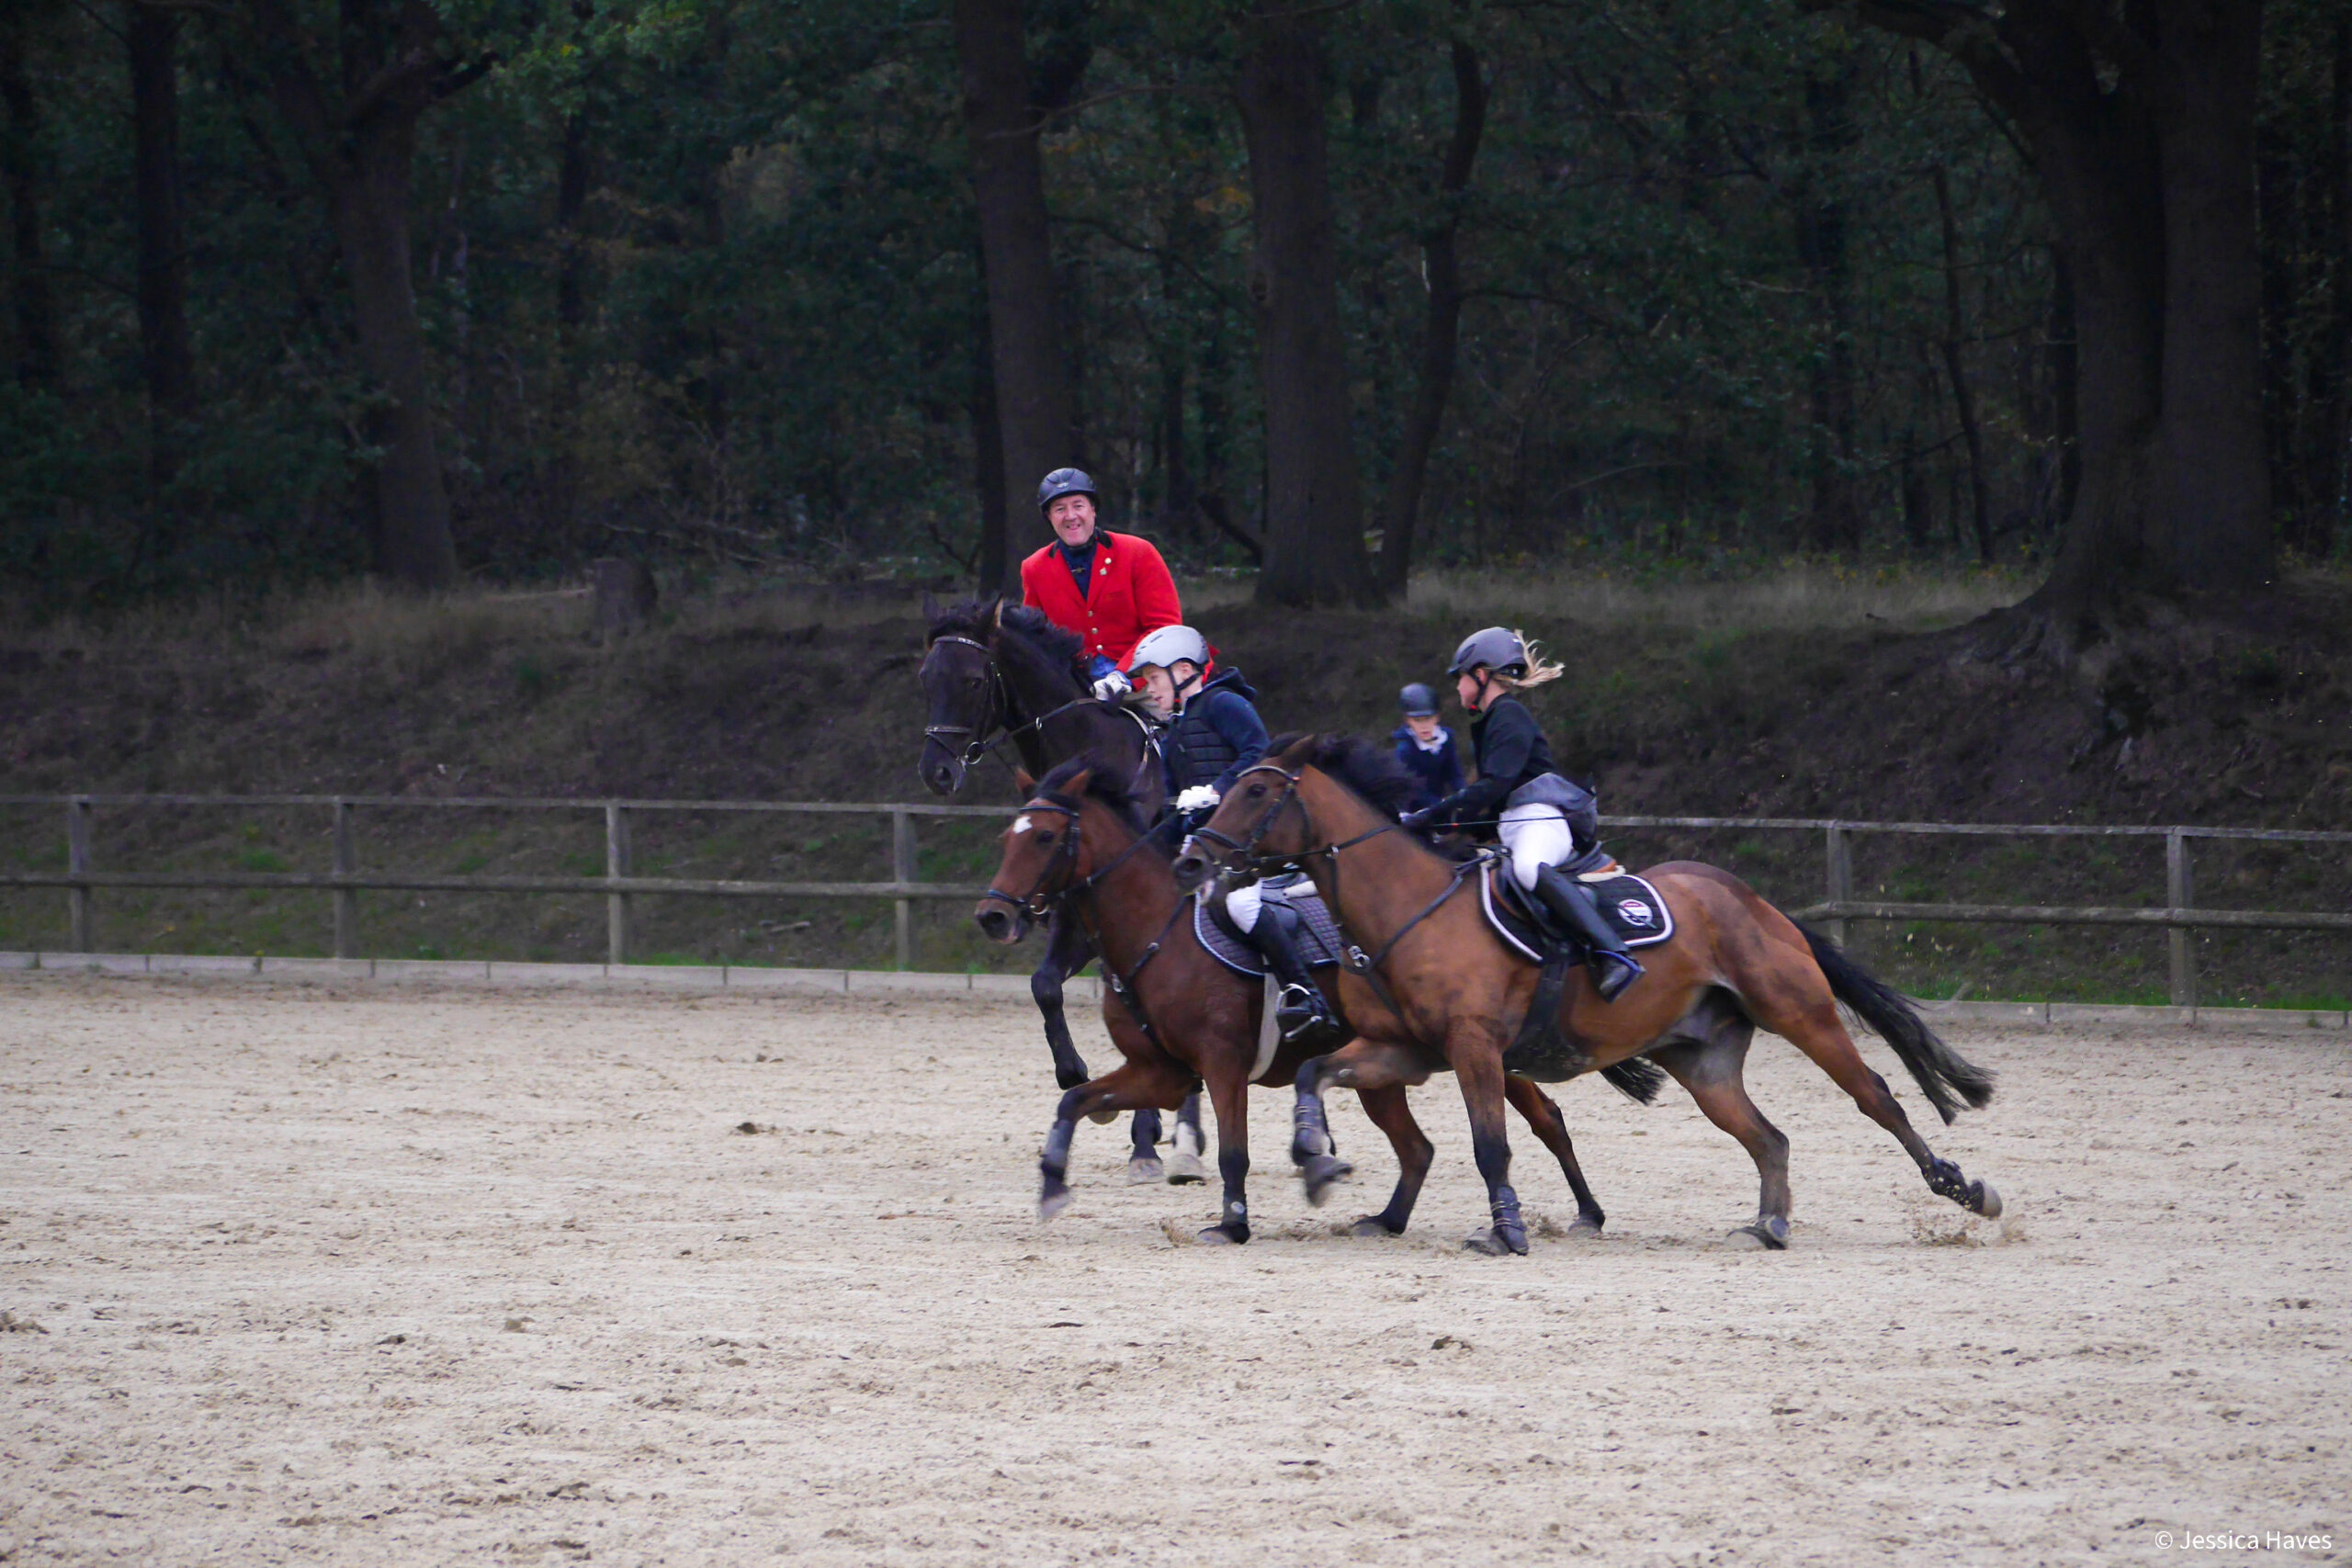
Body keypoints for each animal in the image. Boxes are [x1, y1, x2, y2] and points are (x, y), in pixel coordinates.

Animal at [917, 595, 1205, 1182]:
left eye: (974, 680)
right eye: (925, 678)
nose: (937, 771)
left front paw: (1143, 1139)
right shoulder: (1071, 924)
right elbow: (1044, 986)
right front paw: (1074, 1074)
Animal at [974, 755, 1655, 1244]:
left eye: (1044, 838)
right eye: (1008, 835)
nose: (992, 915)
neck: (1155, 931)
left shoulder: (1221, 1066)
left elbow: (1233, 1151)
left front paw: (1234, 1223)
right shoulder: (1160, 1072)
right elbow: (1072, 1101)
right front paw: (1052, 1183)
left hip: (1488, 1055)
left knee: (1546, 1121)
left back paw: (1586, 1213)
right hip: (1390, 1069)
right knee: (1419, 1147)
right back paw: (1386, 1217)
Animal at [1171, 733, 2000, 1256]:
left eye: (1254, 791)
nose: (1189, 859)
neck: (1406, 908)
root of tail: (1748, 897)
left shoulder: (1474, 1048)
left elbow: (1491, 1143)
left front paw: (1505, 1231)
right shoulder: (1404, 1050)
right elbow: (1316, 1073)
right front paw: (1314, 1160)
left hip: (1801, 1012)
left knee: (1877, 1097)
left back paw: (1961, 1188)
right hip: (1703, 1063)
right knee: (1768, 1136)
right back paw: (1768, 1225)